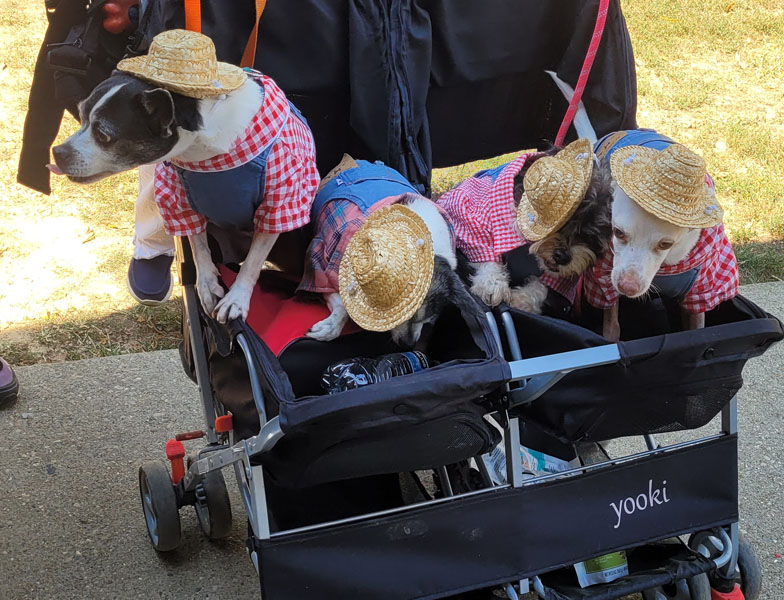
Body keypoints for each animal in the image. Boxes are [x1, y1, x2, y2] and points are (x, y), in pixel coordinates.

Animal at [48, 29, 318, 324]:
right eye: (81, 115)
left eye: (103, 135)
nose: (57, 152)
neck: (203, 153)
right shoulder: (179, 201)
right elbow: (198, 245)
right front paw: (207, 284)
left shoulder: (280, 204)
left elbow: (255, 260)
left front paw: (237, 299)